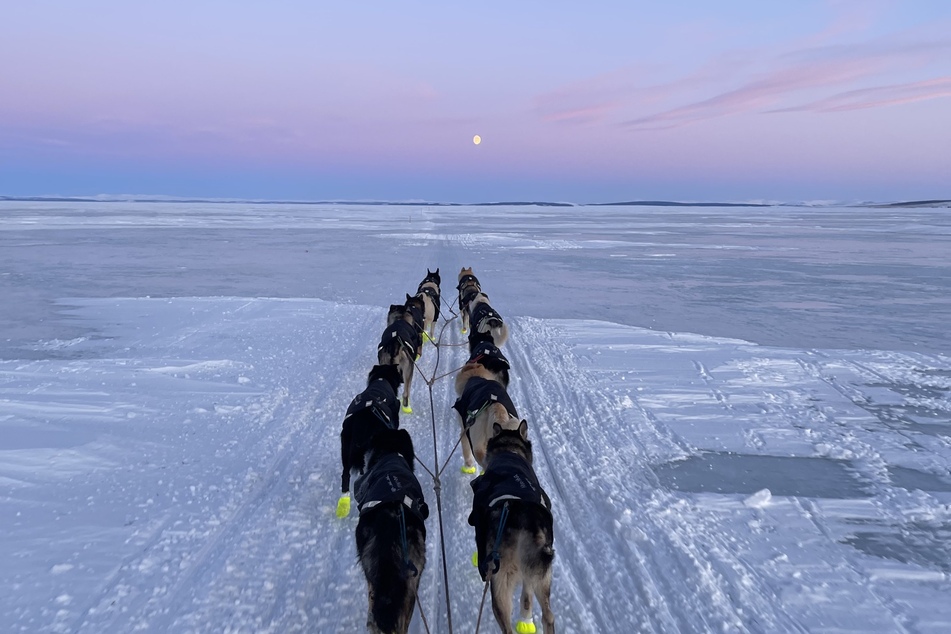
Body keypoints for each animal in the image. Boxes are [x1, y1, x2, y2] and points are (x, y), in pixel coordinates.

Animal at [466, 420, 556, 632]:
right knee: (547, 615)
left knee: (506, 626)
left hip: (500, 583)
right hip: (541, 574)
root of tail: (524, 519)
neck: (509, 451)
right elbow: (527, 598)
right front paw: (526, 618)